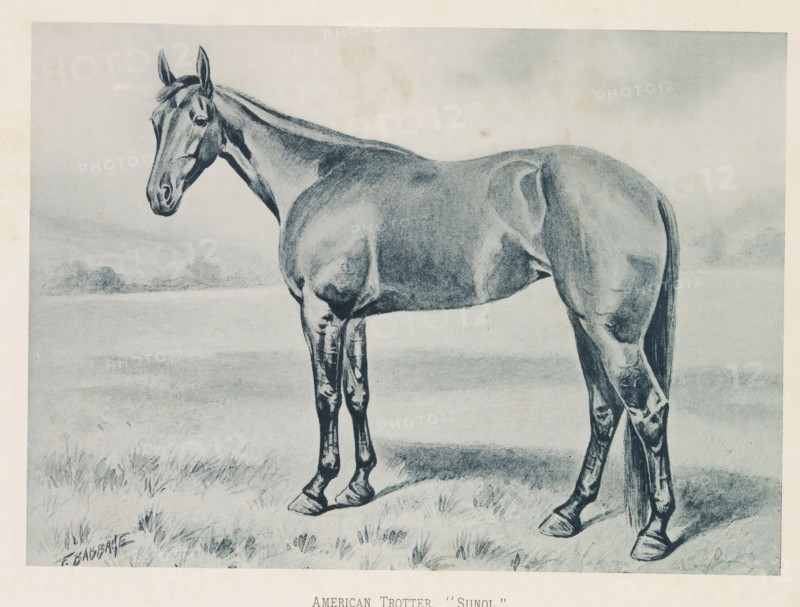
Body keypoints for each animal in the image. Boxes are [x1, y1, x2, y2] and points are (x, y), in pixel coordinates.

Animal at [146, 47, 679, 562]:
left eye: (199, 118)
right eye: (155, 121)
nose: (158, 195)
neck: (320, 178)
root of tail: (649, 190)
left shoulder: (322, 315)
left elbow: (326, 397)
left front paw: (316, 490)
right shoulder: (353, 319)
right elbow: (357, 394)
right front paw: (358, 486)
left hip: (613, 336)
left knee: (648, 411)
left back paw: (654, 533)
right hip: (583, 324)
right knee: (604, 409)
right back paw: (568, 513)